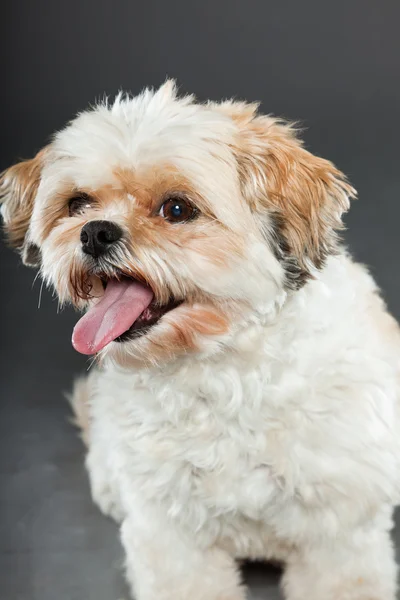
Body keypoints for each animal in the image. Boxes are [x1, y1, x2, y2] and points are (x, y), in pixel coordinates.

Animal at [0, 81, 400, 600]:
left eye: (177, 209)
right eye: (78, 204)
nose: (95, 232)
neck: (223, 368)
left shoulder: (338, 532)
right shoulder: (172, 536)